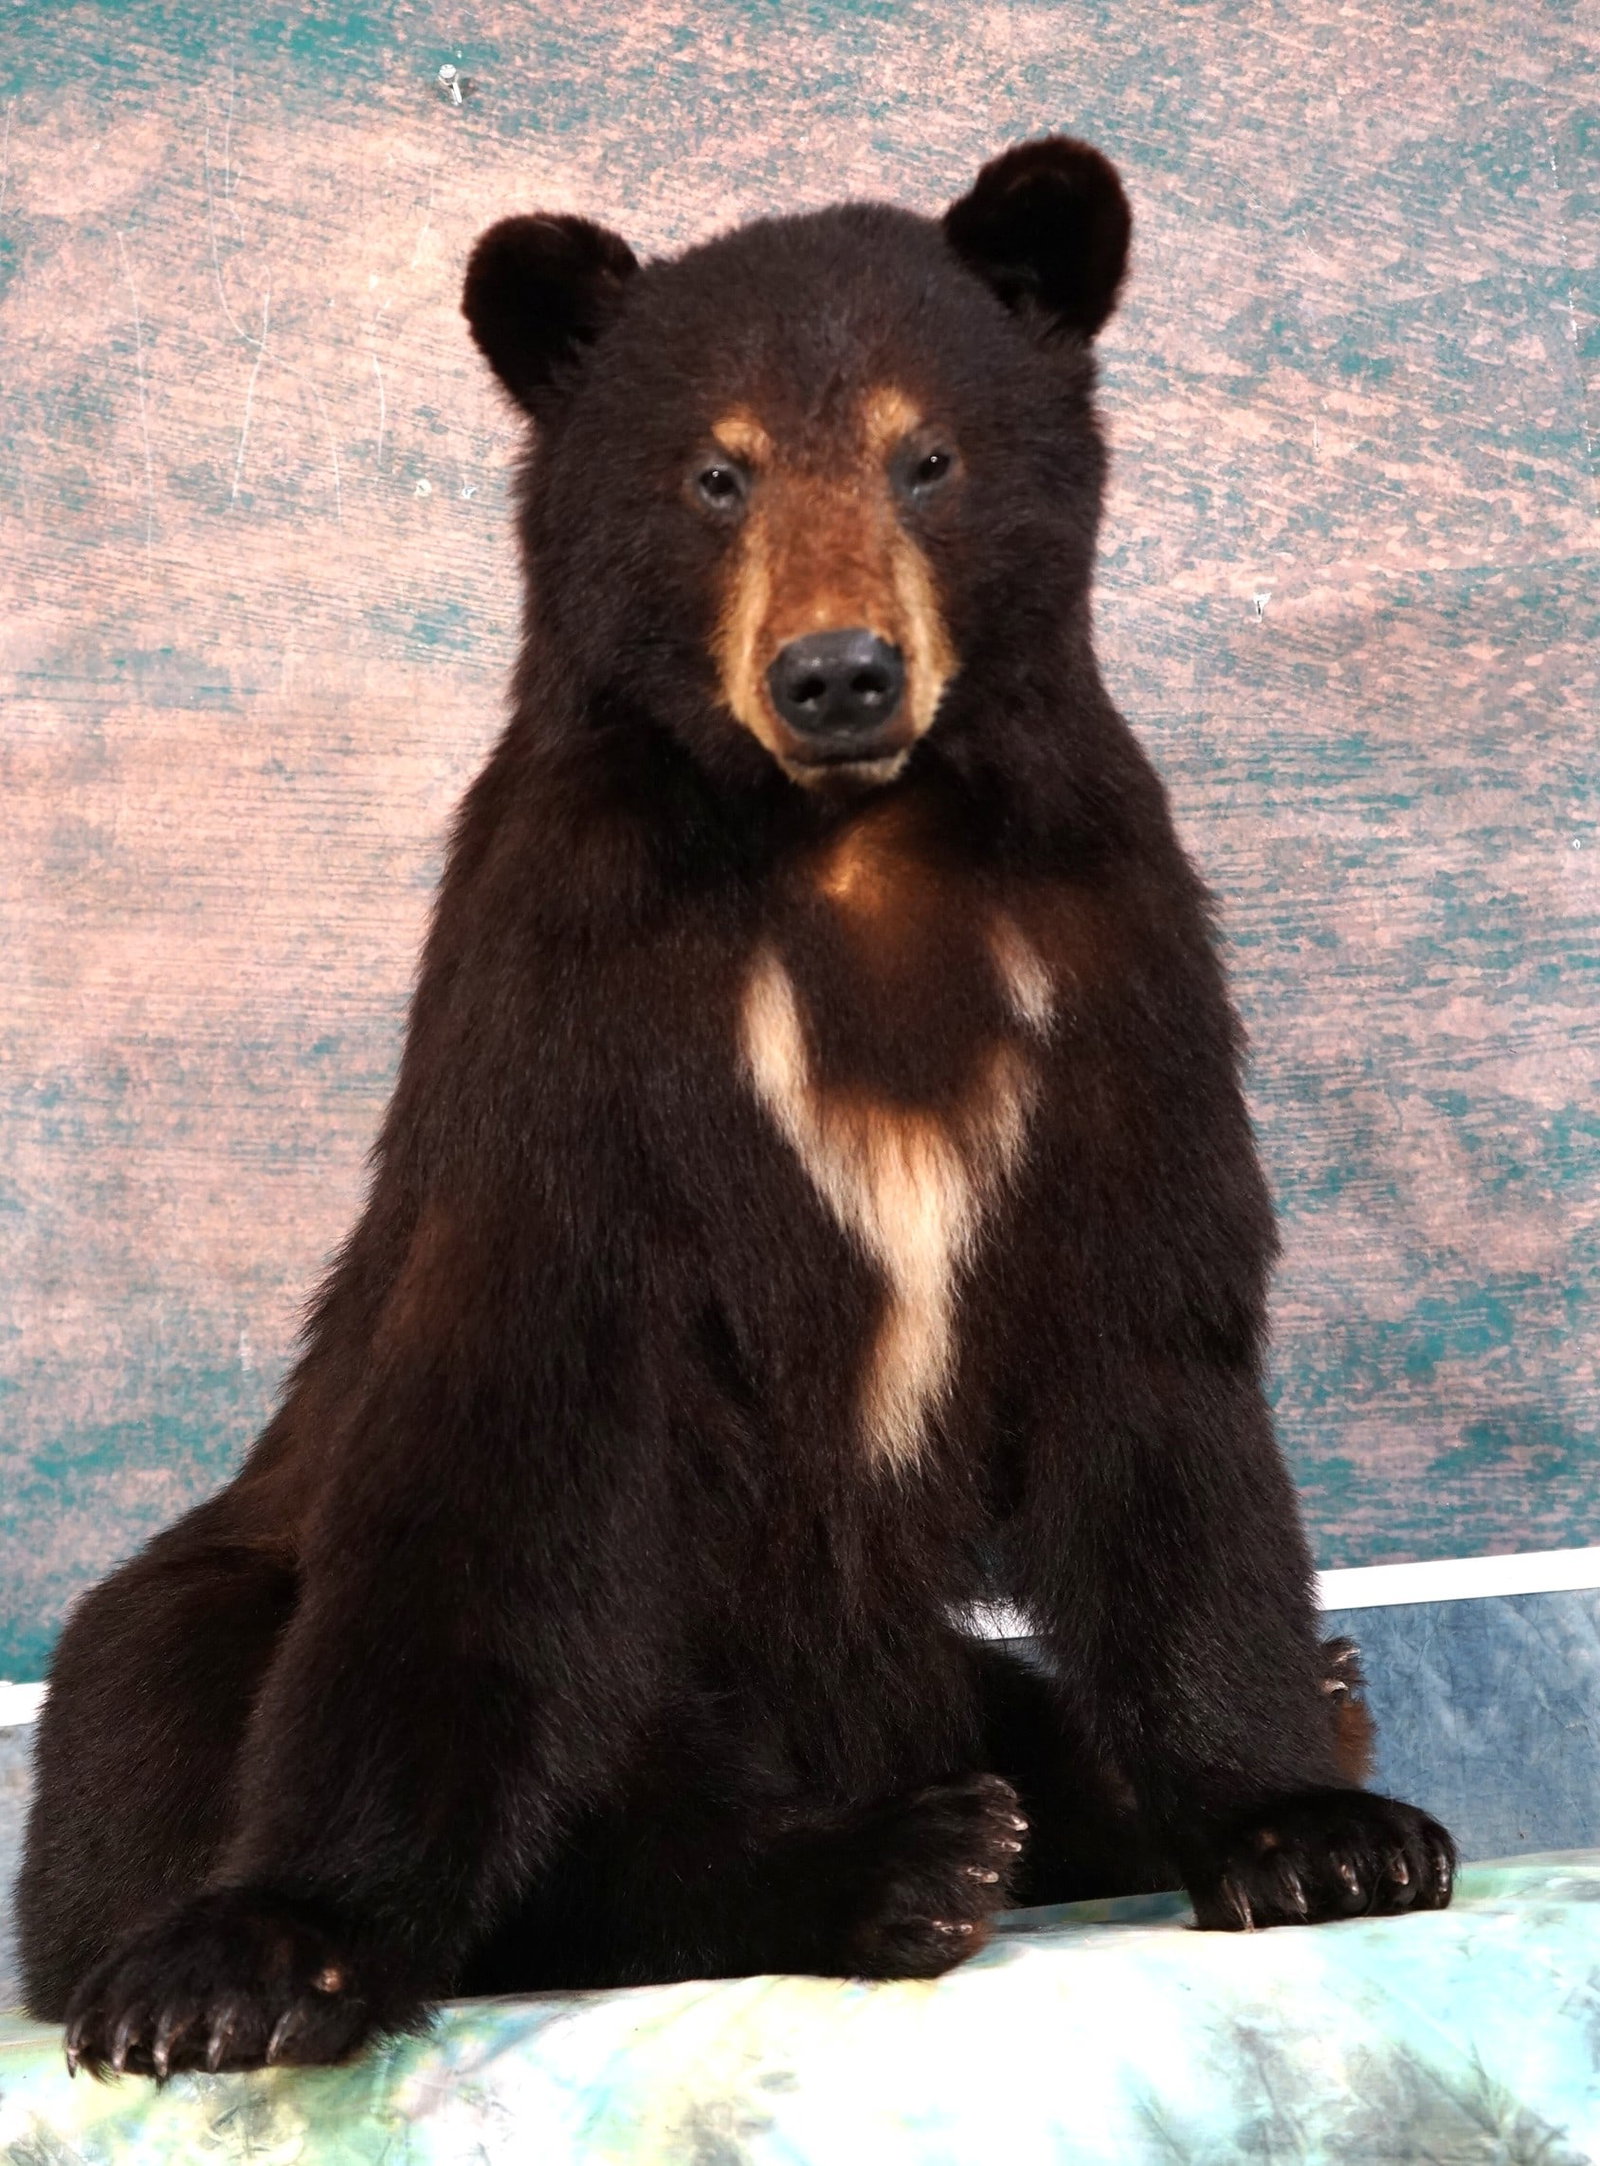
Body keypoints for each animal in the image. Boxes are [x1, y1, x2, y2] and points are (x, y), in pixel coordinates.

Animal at [19, 136, 1454, 2081]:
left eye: (927, 454)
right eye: (717, 470)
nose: (836, 671)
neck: (852, 843)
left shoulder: (1112, 970)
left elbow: (1158, 1359)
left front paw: (1312, 1825)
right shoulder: (576, 999)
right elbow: (498, 1403)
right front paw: (259, 1955)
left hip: (919, 1656)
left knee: (1013, 1702)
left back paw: (1282, 1716)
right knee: (185, 1696)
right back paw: (900, 1859)